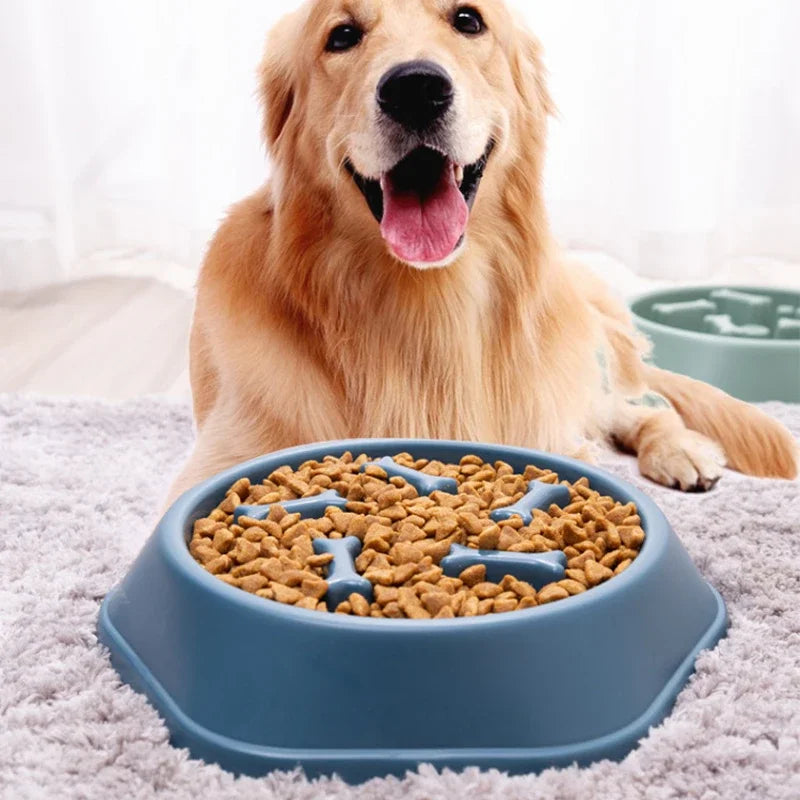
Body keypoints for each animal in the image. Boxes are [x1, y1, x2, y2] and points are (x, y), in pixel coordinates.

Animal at [170, 0, 800, 500]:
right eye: (342, 35)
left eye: (468, 20)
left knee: (642, 408)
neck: (428, 299)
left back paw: (681, 452)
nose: (416, 88)